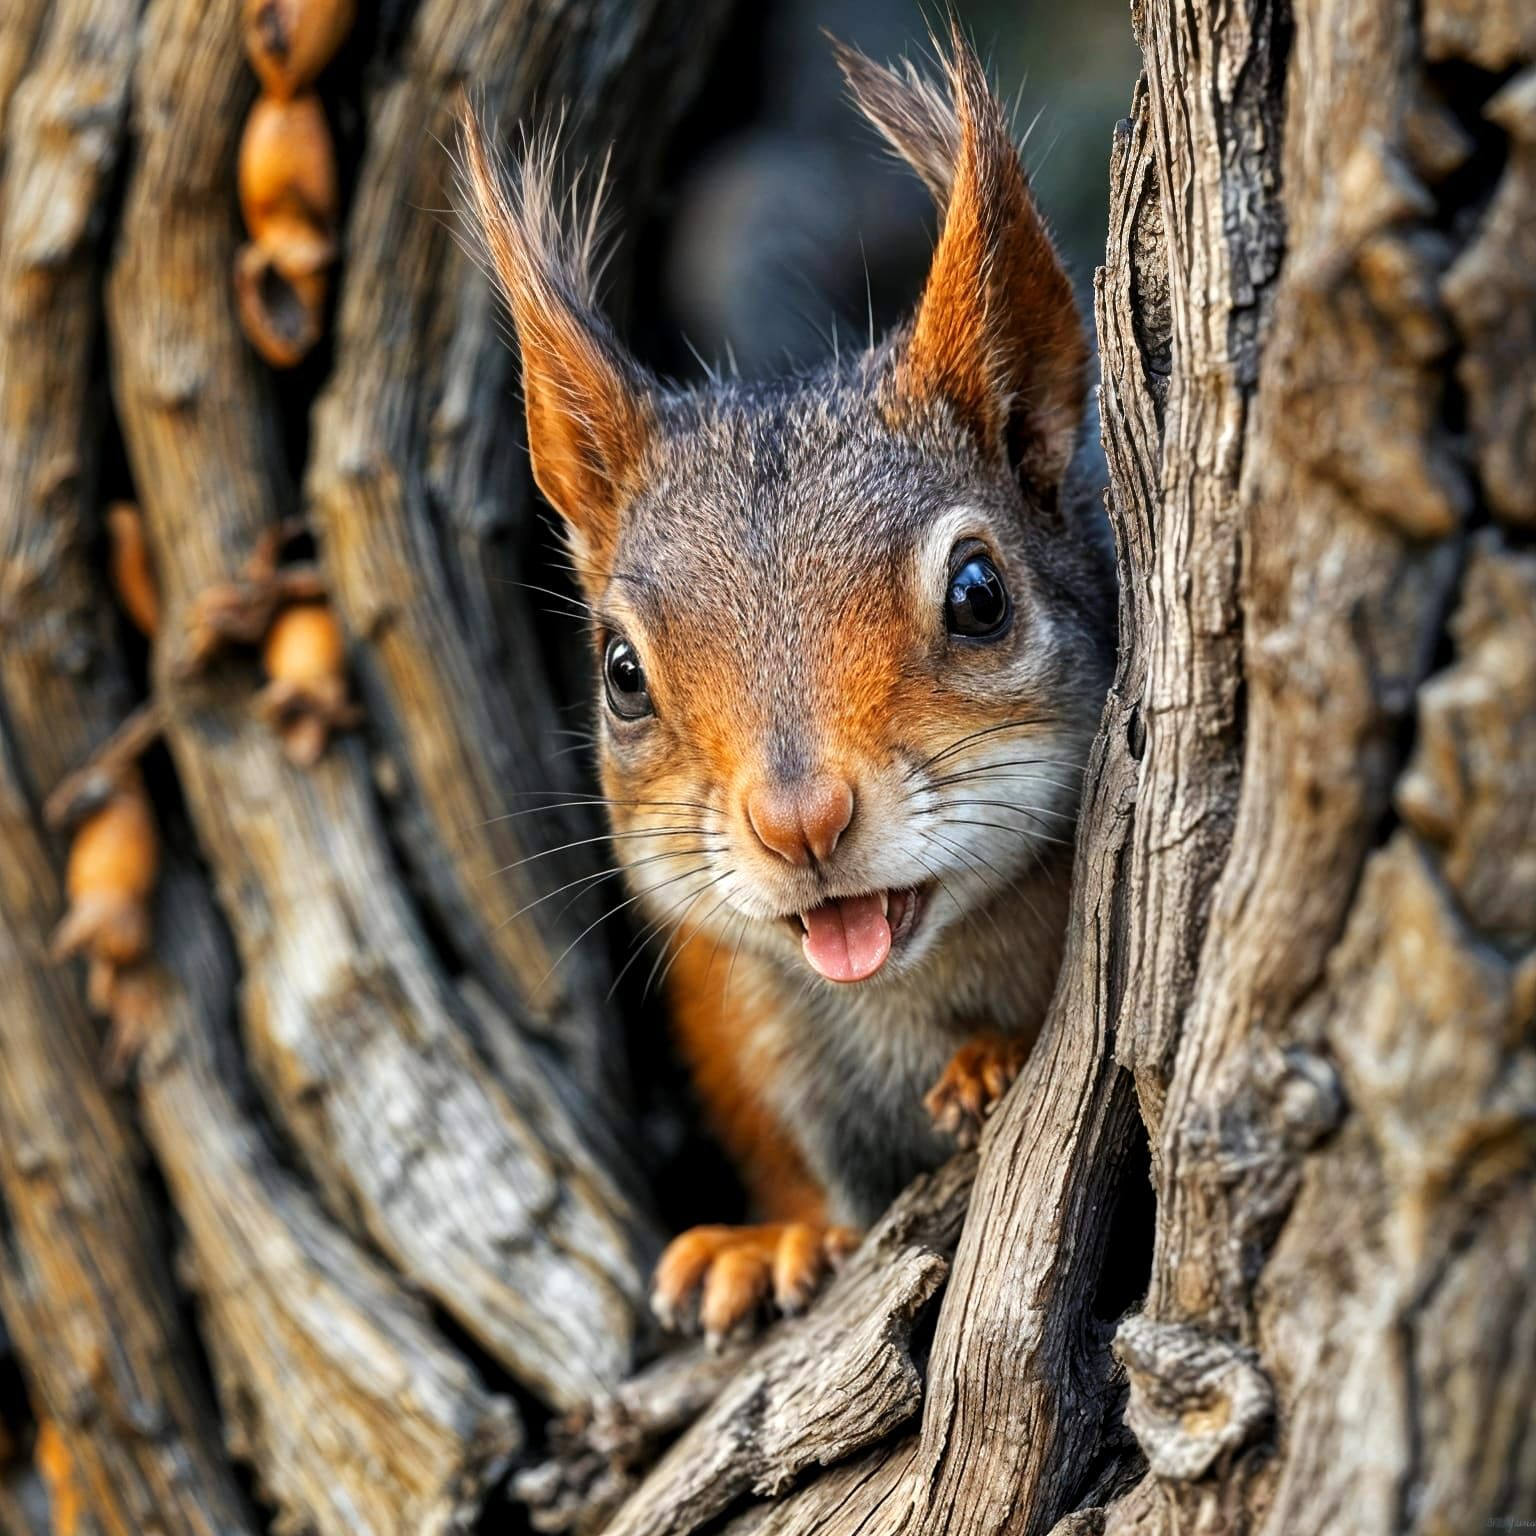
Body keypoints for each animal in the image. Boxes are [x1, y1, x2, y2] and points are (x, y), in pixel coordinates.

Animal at [460, 27, 1116, 1348]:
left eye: (981, 595)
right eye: (620, 675)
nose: (800, 822)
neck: (908, 990)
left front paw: (987, 1062)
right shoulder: (737, 1026)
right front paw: (770, 1241)